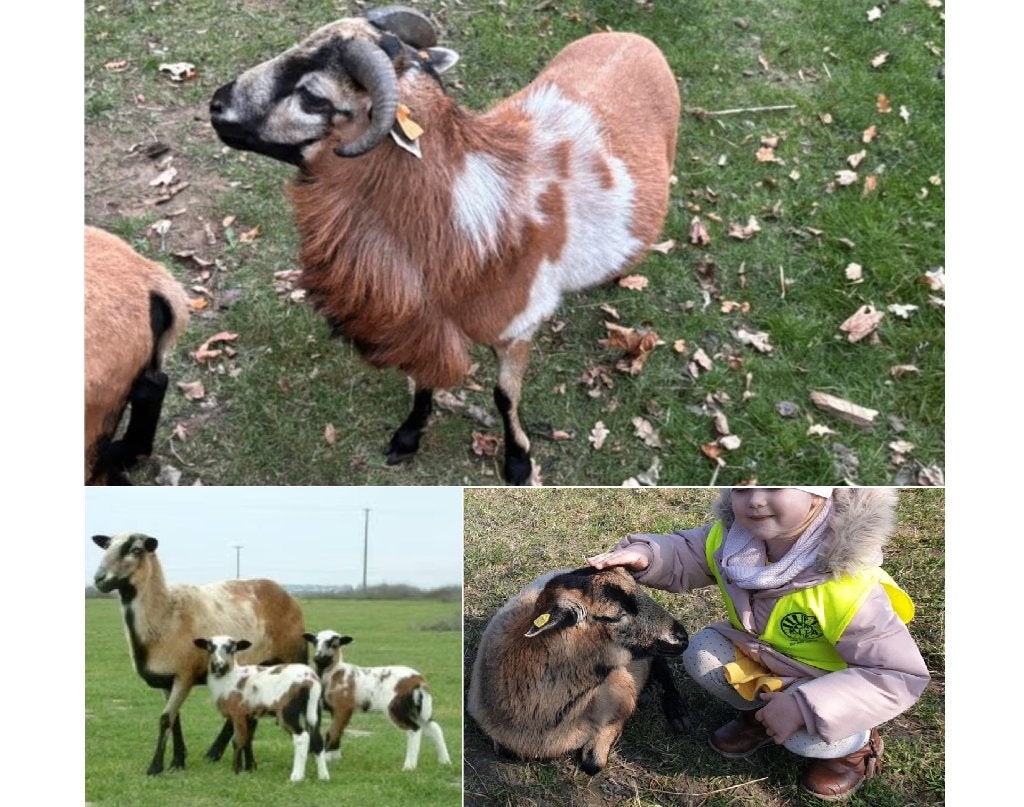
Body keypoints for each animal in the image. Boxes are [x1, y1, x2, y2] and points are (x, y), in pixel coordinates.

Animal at [91, 532, 309, 775]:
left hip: (289, 658)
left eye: (136, 550)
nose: (99, 579)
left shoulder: (184, 675)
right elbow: (175, 719)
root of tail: (287, 594)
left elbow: (165, 719)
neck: (164, 615)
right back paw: (215, 753)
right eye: (107, 547)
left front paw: (155, 767)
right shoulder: (167, 679)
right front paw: (178, 761)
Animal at [193, 635, 329, 782]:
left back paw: (296, 776)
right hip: (314, 708)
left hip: (287, 710)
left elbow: (237, 741)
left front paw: (235, 770)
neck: (231, 678)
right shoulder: (250, 715)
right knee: (317, 738)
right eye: (209, 647)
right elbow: (247, 740)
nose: (219, 665)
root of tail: (311, 680)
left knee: (302, 737)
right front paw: (248, 768)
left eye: (232, 648)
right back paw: (323, 776)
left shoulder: (238, 713)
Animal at [208, 6, 680, 485]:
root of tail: (630, 37)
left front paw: (518, 463)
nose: (217, 103)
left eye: (313, 98)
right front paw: (406, 438)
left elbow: (504, 398)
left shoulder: (517, 330)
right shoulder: (420, 319)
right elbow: (423, 380)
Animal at [303, 630, 451, 770]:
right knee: (434, 727)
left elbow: (333, 733)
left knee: (414, 729)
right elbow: (338, 732)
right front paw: (334, 758)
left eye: (334, 644)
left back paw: (409, 766)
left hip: (396, 707)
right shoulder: (336, 710)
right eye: (315, 642)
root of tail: (419, 680)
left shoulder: (343, 707)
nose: (318, 658)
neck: (333, 674)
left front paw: (327, 758)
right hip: (416, 707)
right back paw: (444, 761)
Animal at [467, 565, 689, 774]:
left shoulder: (623, 691)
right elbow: (505, 751)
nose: (682, 636)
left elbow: (593, 763)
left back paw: (677, 713)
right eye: (613, 617)